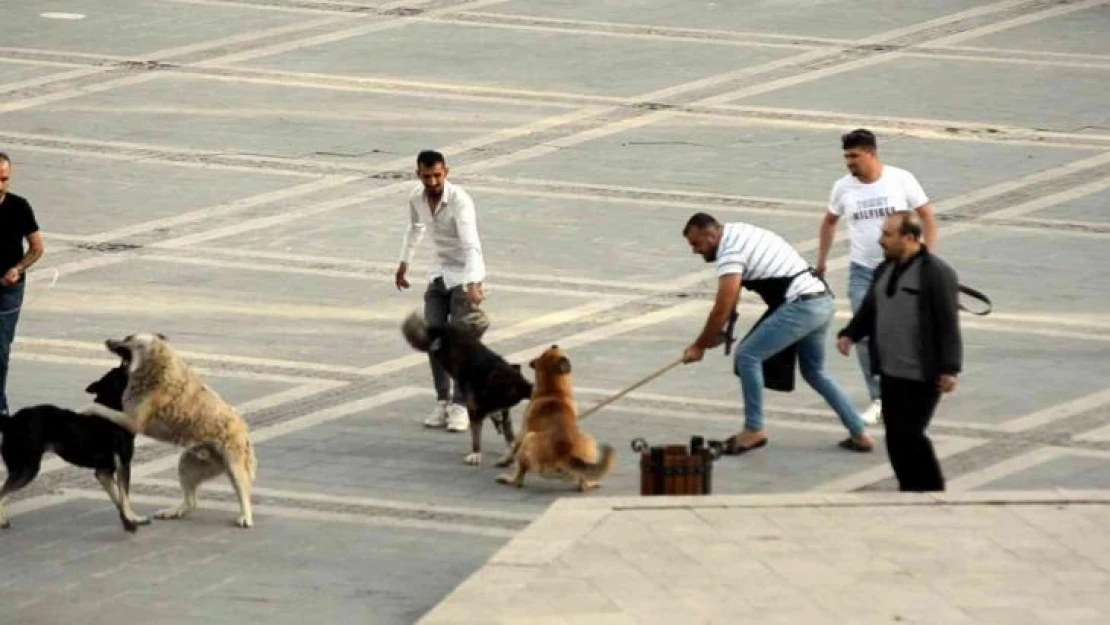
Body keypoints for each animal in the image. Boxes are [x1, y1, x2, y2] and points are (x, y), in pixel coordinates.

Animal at [0, 366, 149, 532]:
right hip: (26, 468)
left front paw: (128, 519)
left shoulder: (103, 473)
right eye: (120, 371)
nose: (126, 363)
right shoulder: (123, 466)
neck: (111, 409)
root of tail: (10, 421)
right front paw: (131, 519)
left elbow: (118, 498)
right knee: (2, 492)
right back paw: (2, 520)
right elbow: (125, 496)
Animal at [82, 333, 257, 528]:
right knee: (191, 500)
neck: (155, 367)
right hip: (188, 464)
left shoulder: (133, 421)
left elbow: (101, 409)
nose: (107, 341)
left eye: (129, 338)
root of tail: (243, 425)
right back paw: (172, 512)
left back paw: (246, 516)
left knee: (243, 491)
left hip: (234, 464)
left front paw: (87, 409)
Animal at [404, 310, 532, 466]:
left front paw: (511, 447)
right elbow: (476, 436)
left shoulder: (503, 411)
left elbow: (509, 432)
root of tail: (444, 327)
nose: (531, 388)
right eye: (514, 392)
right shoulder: (476, 410)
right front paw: (476, 454)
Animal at [497, 344, 617, 490]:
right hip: (589, 439)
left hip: (529, 438)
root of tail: (564, 454)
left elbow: (513, 447)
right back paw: (590, 483)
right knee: (583, 482)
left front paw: (504, 460)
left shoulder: (523, 431)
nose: (555, 345)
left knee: (519, 478)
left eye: (548, 351)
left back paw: (508, 479)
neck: (553, 390)